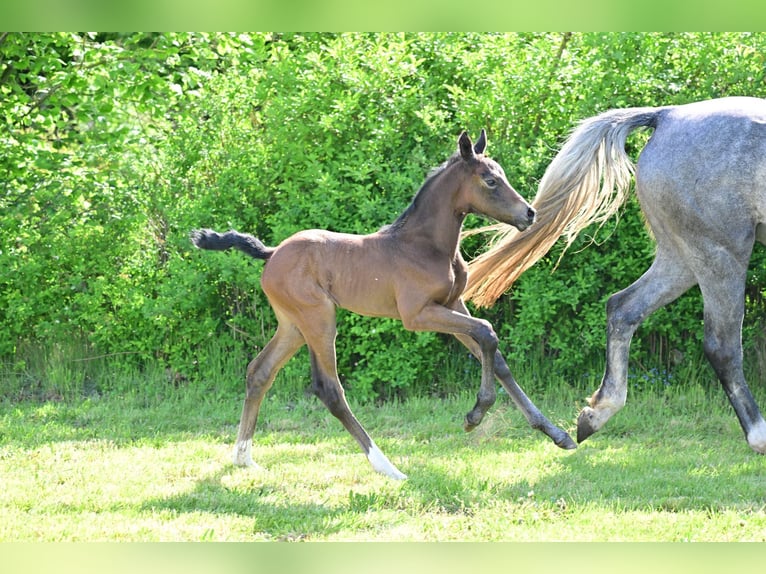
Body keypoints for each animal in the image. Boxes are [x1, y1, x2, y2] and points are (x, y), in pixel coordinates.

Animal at [464, 97, 766, 454]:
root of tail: (668, 115)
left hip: (682, 257)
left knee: (623, 308)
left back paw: (596, 414)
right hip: (719, 252)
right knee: (722, 346)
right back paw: (759, 435)